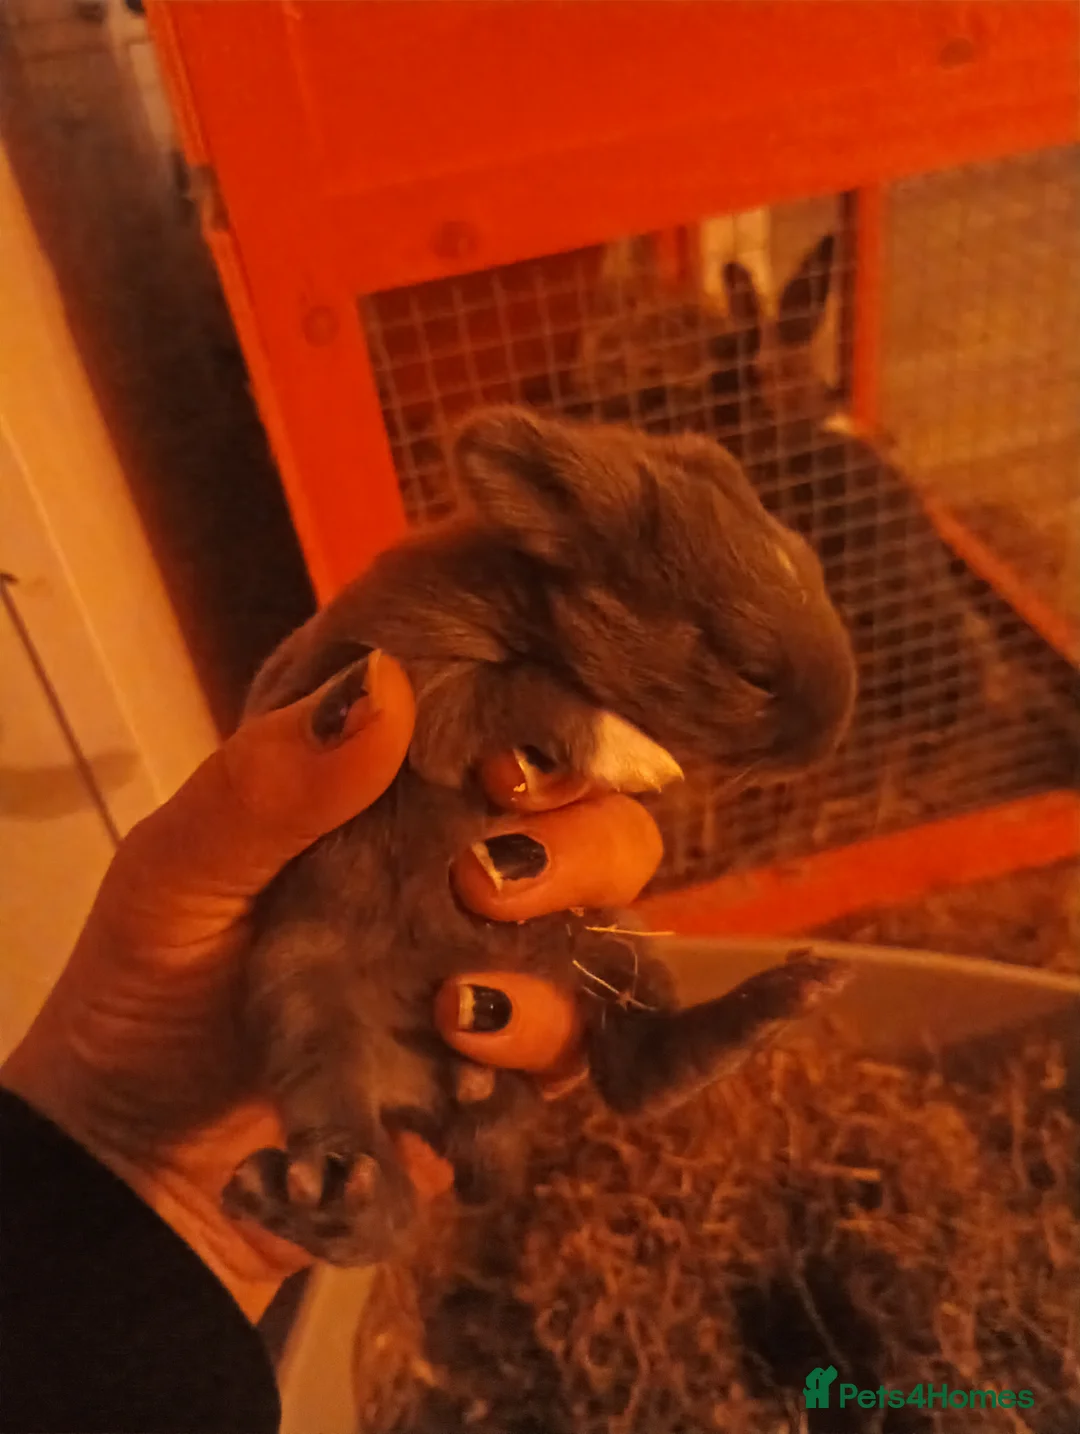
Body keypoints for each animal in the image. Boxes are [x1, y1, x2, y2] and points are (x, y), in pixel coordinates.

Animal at [222, 406, 857, 1266]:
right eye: (750, 668)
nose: (831, 735)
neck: (529, 604)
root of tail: (460, 1093)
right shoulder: (415, 687)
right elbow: (524, 694)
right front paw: (641, 759)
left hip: (608, 947)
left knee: (640, 1068)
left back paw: (787, 995)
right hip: (302, 1002)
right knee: (374, 1188)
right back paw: (316, 1199)